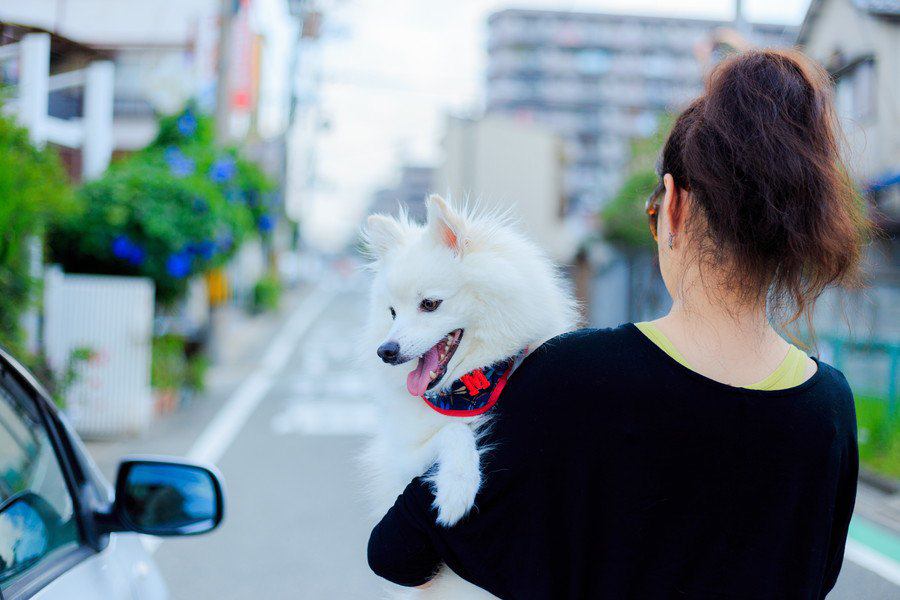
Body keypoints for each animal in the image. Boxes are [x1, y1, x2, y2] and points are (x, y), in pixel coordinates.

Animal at [360, 195, 576, 596]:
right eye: (392, 312)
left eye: (430, 304)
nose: (386, 350)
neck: (467, 386)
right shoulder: (402, 457)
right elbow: (455, 430)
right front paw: (457, 487)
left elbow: (456, 428)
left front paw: (455, 489)